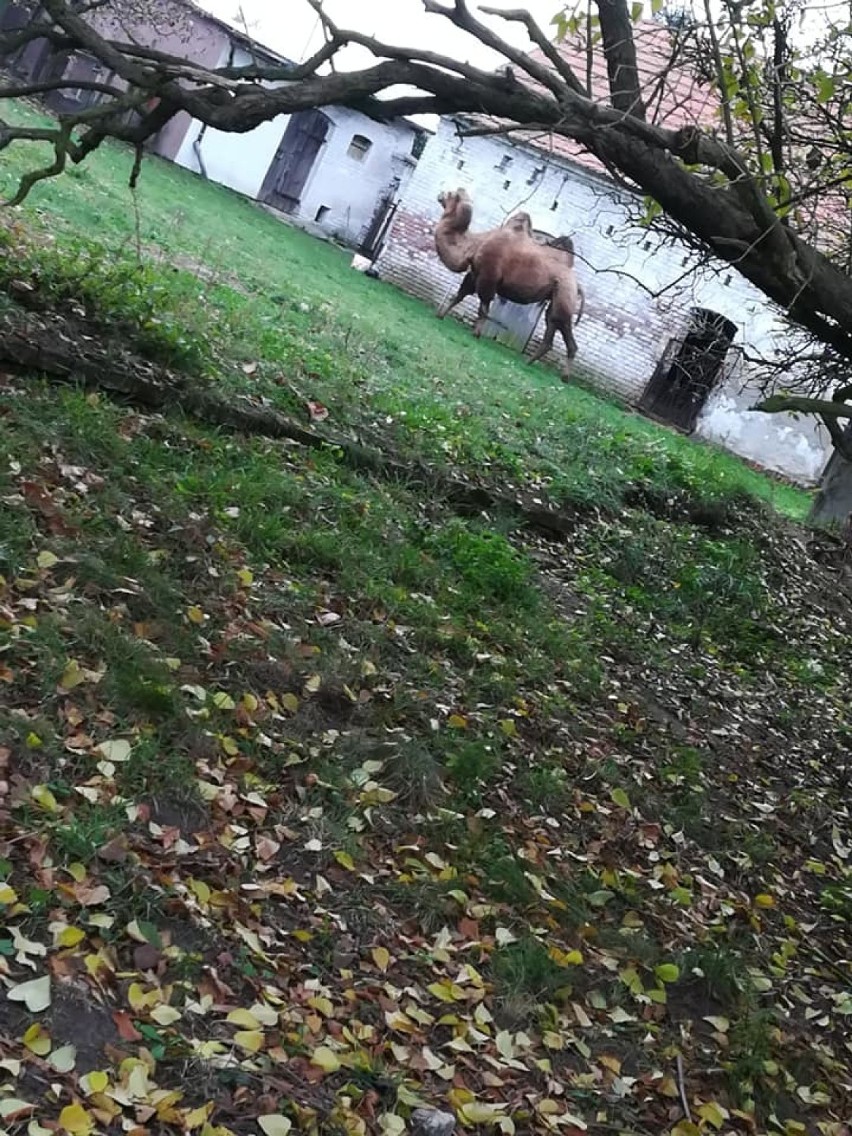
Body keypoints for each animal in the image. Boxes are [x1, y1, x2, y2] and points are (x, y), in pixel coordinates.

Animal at [436, 186, 586, 381]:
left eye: (451, 194)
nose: (440, 194)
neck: (474, 244)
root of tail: (577, 285)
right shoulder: (475, 273)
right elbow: (459, 295)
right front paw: (440, 315)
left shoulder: (488, 276)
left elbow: (483, 306)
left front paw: (476, 333)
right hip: (556, 297)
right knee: (551, 325)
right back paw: (528, 362)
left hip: (565, 293)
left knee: (564, 327)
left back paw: (565, 377)